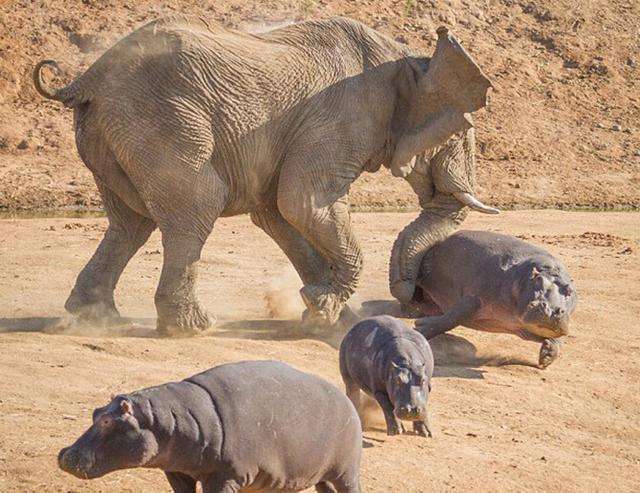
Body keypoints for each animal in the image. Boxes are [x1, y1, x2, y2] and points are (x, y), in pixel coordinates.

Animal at [33, 15, 496, 332]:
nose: (411, 300)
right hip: (164, 122)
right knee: (196, 207)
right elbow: (304, 203)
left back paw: (97, 318)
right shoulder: (342, 117)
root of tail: (87, 78)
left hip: (111, 134)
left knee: (130, 223)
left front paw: (327, 313)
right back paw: (192, 329)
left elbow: (278, 212)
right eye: (460, 132)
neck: (409, 61)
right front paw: (324, 308)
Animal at [57, 360, 362, 490]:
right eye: (95, 412)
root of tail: (347, 401)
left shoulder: (226, 476)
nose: (64, 454)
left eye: (108, 420)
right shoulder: (177, 472)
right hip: (318, 477)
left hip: (346, 471)